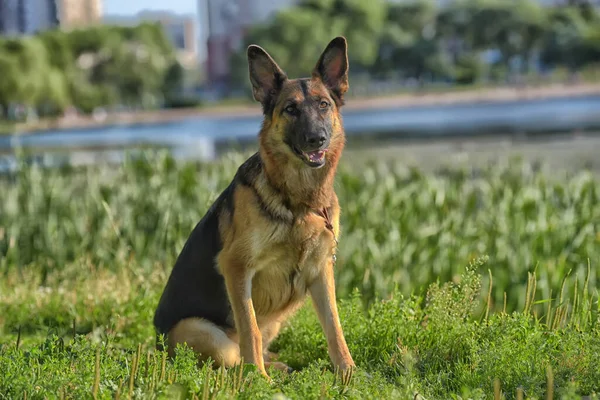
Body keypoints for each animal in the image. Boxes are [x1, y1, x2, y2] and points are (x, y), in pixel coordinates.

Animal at [152, 36, 354, 378]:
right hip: (200, 331)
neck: (299, 200)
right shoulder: (236, 267)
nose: (316, 139)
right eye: (290, 109)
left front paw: (348, 373)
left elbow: (335, 328)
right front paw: (257, 379)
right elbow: (250, 330)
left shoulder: (321, 269)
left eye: (323, 105)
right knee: (231, 355)